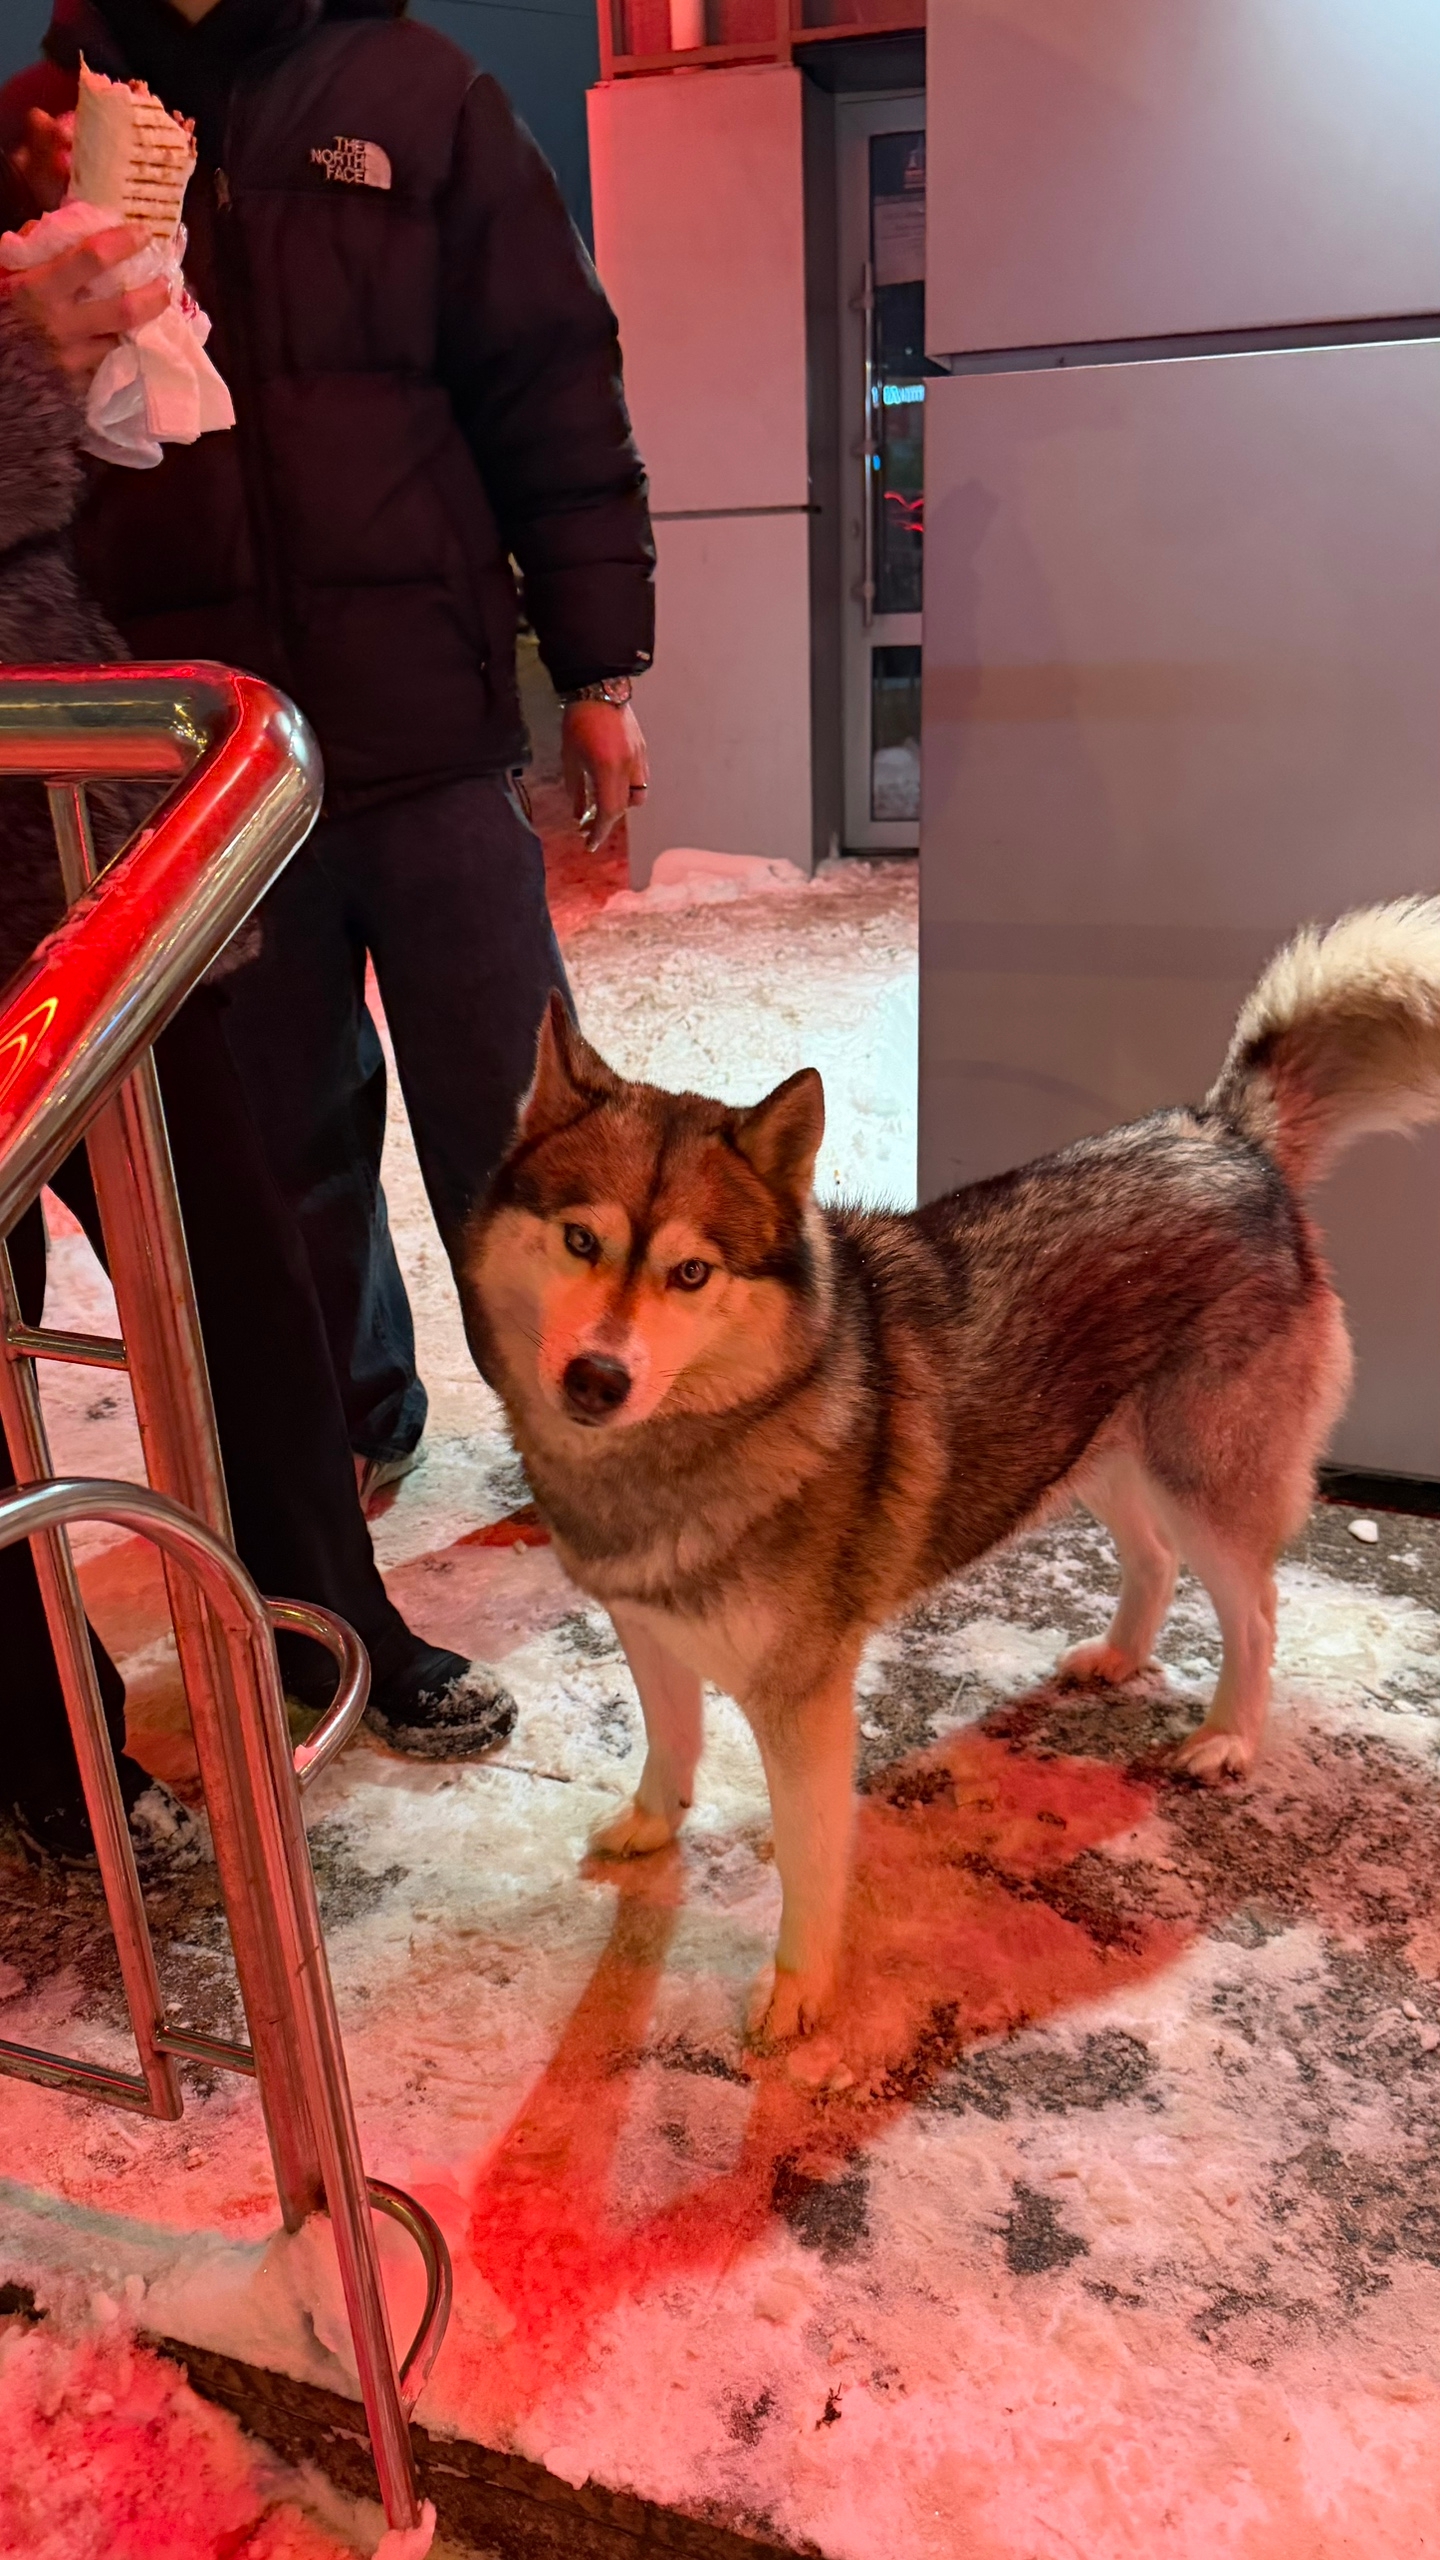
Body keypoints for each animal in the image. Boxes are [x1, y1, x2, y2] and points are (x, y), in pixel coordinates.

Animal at [461, 899, 1440, 2044]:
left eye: (691, 1271)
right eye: (580, 1240)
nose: (598, 1376)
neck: (692, 1442)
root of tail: (1222, 1134)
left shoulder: (802, 1703)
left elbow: (809, 1860)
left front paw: (799, 1987)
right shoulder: (650, 1632)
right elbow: (671, 1746)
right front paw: (653, 1825)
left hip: (1199, 1480)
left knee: (1257, 1611)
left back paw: (1229, 1738)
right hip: (1087, 1454)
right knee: (1152, 1563)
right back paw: (1120, 1656)